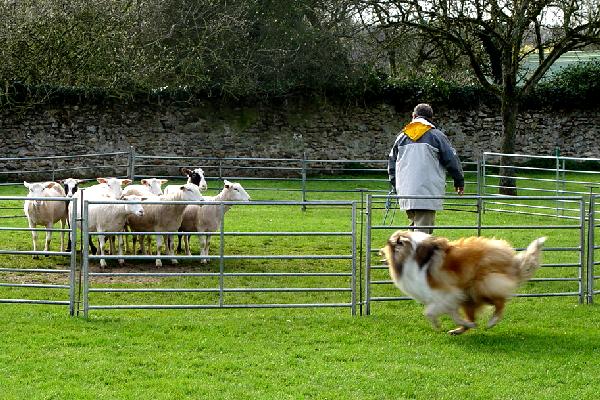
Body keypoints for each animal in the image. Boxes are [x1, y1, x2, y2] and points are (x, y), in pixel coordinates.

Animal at [382, 231, 548, 334]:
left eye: (390, 243)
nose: (380, 251)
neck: (410, 255)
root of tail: (512, 261)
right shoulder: (448, 299)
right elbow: (452, 315)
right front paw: (462, 324)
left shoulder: (445, 293)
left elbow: (428, 312)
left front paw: (437, 324)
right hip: (469, 296)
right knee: (474, 314)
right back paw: (459, 330)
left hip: (483, 285)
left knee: (500, 302)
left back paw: (492, 321)